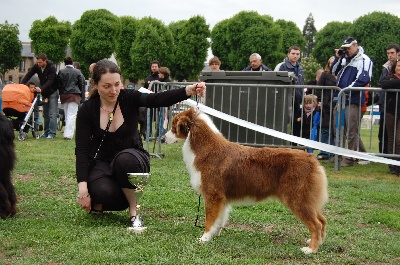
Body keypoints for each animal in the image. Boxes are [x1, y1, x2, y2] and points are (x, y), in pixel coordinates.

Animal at [165, 108, 328, 254]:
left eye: (173, 127)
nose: (163, 138)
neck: (204, 148)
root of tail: (312, 160)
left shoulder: (212, 194)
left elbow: (210, 219)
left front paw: (204, 238)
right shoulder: (222, 198)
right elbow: (219, 219)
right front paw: (214, 235)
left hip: (296, 198)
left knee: (316, 224)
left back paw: (311, 249)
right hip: (307, 199)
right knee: (322, 219)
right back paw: (317, 242)